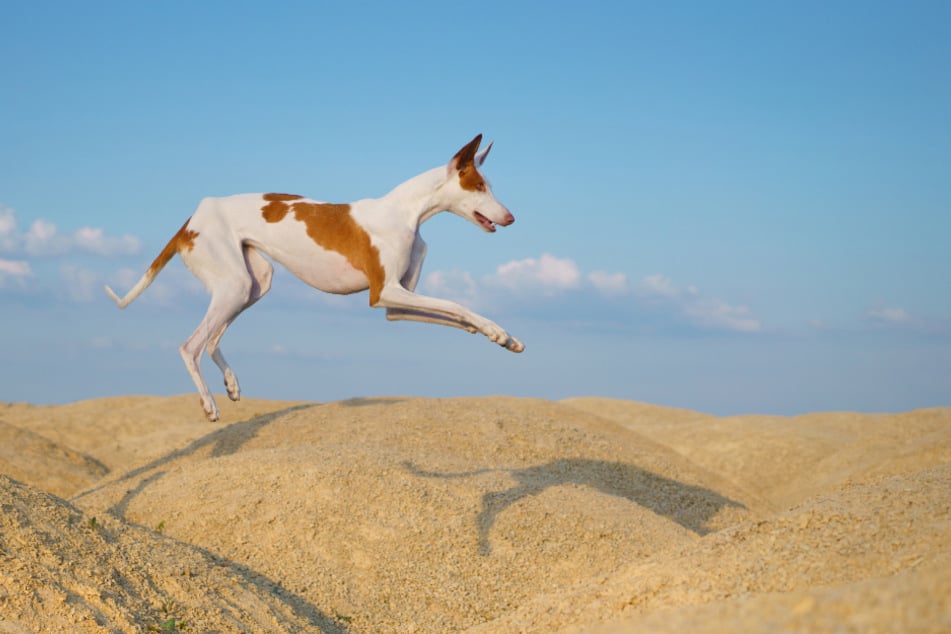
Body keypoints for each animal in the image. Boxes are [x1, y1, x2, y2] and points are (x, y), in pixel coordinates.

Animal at [108, 133, 524, 420]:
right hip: (234, 285)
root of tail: (193, 218)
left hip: (253, 284)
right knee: (190, 346)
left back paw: (230, 383)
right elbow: (455, 303)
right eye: (480, 187)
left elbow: (451, 313)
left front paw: (498, 336)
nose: (511, 217)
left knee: (211, 340)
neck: (407, 212)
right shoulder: (384, 292)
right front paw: (496, 330)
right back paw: (209, 403)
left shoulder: (395, 304)